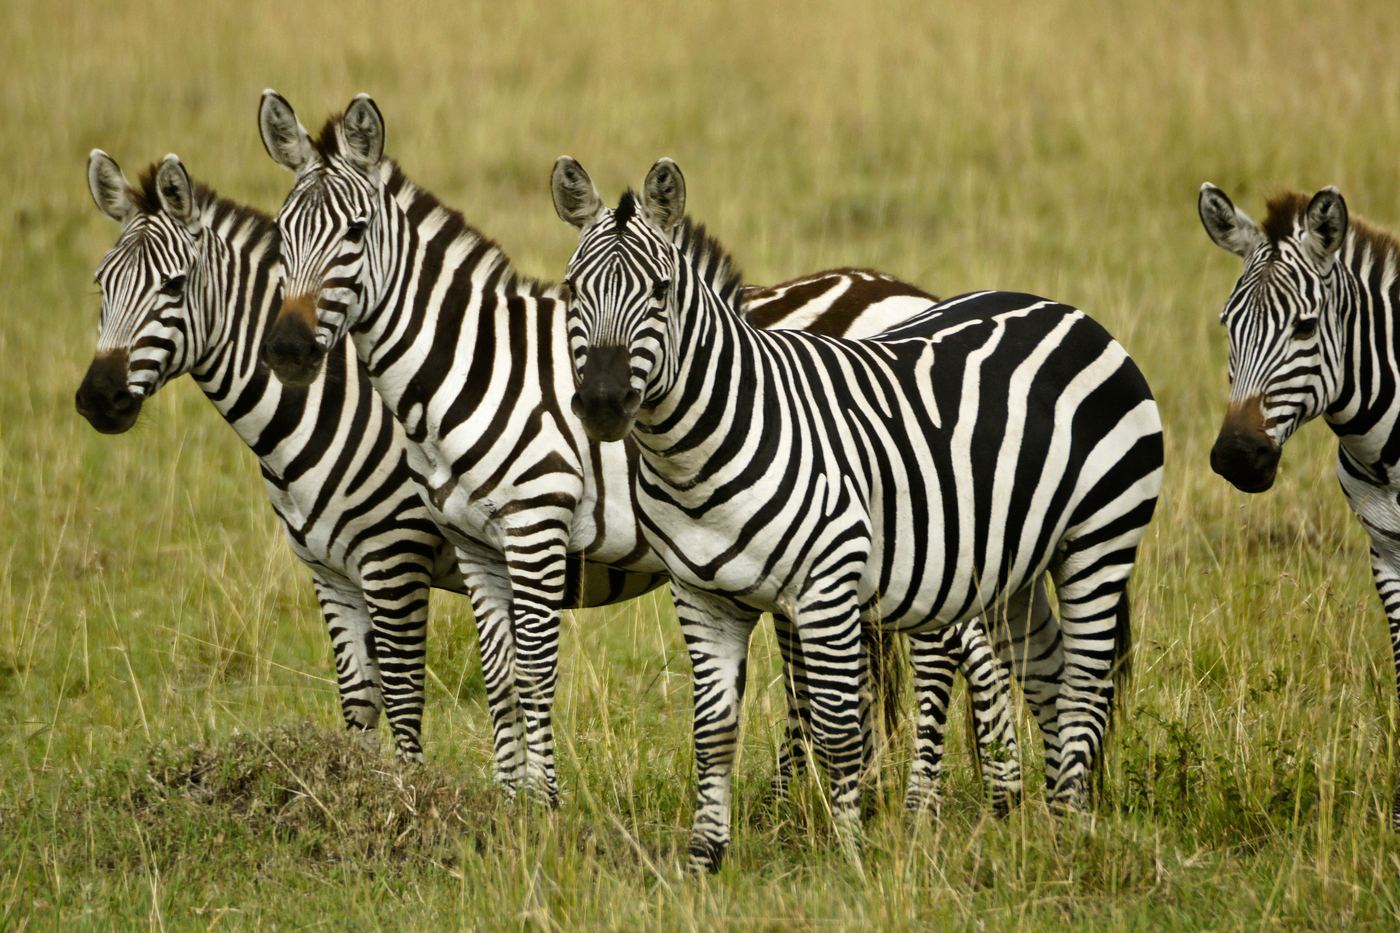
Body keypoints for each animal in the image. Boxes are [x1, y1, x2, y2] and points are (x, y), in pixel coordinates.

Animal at [254, 92, 1035, 806]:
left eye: (356, 231)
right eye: (283, 231)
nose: (288, 350)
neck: (472, 366)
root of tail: (917, 295)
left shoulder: (533, 524)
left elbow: (534, 669)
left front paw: (543, 808)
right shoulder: (474, 542)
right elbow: (498, 675)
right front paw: (507, 810)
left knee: (963, 651)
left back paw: (979, 802)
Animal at [555, 157, 1163, 871]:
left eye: (660, 289)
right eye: (573, 291)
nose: (601, 404)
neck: (704, 450)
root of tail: (1069, 312)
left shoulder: (826, 586)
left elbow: (840, 726)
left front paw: (848, 855)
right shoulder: (701, 595)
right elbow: (712, 730)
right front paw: (705, 857)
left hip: (1098, 539)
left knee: (1083, 687)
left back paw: (1063, 834)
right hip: (1007, 560)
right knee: (1047, 674)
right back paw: (1046, 823)